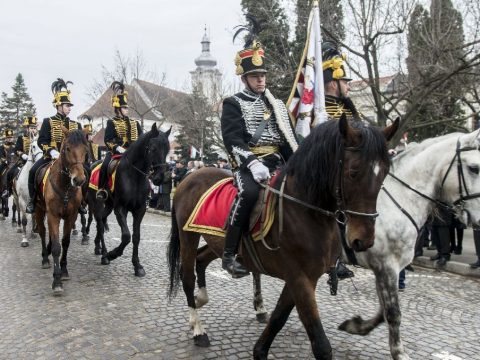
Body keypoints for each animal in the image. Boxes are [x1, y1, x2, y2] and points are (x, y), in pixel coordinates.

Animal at [35, 127, 90, 296]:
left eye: (85, 149)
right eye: (67, 148)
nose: (79, 180)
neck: (65, 186)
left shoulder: (71, 216)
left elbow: (65, 243)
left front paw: (64, 270)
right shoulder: (53, 216)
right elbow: (56, 247)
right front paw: (56, 281)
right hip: (39, 210)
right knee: (42, 232)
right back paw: (45, 259)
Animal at [87, 122, 172, 278]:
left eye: (168, 150)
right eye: (153, 149)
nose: (160, 178)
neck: (134, 176)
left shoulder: (140, 210)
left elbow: (136, 236)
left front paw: (137, 265)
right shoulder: (121, 208)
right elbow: (126, 236)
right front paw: (113, 254)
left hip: (109, 205)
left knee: (102, 220)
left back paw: (98, 247)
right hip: (96, 203)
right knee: (100, 223)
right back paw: (104, 254)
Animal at [167, 116, 400, 358]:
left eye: (384, 173)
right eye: (353, 172)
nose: (364, 240)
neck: (305, 210)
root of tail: (191, 176)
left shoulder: (302, 278)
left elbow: (279, 317)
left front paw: (260, 350)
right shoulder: (300, 278)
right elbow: (320, 343)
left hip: (216, 242)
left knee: (202, 259)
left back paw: (202, 299)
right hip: (188, 236)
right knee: (187, 277)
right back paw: (198, 329)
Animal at [340, 129, 480, 360]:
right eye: (474, 168)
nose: (479, 219)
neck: (400, 199)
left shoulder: (386, 269)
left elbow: (383, 311)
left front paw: (356, 326)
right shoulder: (386, 266)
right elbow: (393, 313)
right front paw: (399, 352)